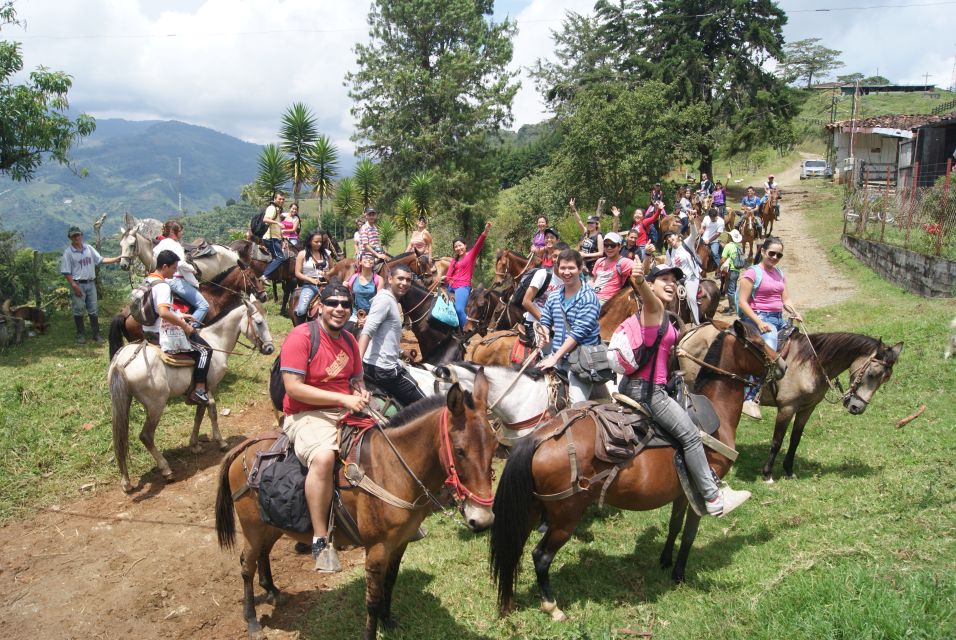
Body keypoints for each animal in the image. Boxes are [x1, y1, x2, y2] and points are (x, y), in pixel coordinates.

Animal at [109, 298, 274, 492]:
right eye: (259, 322)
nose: (270, 348)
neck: (215, 341)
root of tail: (122, 361)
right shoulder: (209, 387)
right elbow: (211, 412)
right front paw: (221, 442)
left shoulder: (198, 392)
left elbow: (199, 415)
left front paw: (194, 445)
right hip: (156, 404)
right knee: (146, 436)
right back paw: (166, 470)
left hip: (124, 402)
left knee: (121, 438)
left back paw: (126, 481)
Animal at [216, 376, 496, 640]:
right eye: (459, 451)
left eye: (494, 447)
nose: (482, 519)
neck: (392, 468)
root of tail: (246, 446)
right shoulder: (376, 549)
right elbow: (372, 599)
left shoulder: (400, 543)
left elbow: (390, 583)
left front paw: (388, 621)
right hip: (252, 526)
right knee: (246, 564)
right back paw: (252, 620)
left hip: (271, 523)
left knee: (263, 553)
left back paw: (273, 590)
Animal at [486, 322, 784, 616]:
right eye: (758, 341)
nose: (781, 365)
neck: (716, 413)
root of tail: (539, 438)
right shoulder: (701, 486)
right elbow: (689, 533)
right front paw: (679, 574)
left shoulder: (683, 490)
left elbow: (675, 526)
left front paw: (665, 561)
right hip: (566, 515)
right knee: (541, 555)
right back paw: (551, 605)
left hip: (530, 507)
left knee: (513, 548)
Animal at [676, 328, 900, 482]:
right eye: (872, 374)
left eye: (885, 380)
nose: (857, 408)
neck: (810, 364)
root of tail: (690, 333)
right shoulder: (787, 408)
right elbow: (777, 441)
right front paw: (767, 474)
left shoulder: (807, 408)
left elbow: (795, 439)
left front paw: (789, 470)